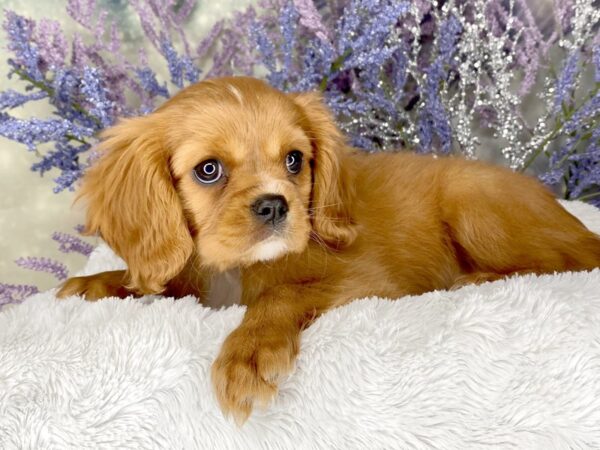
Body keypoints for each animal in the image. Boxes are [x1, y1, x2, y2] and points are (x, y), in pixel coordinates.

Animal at [58, 75, 600, 424]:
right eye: (208, 170)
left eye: (294, 161)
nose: (275, 205)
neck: (234, 271)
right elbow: (151, 283)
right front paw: (92, 284)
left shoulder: (370, 282)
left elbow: (282, 294)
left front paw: (249, 353)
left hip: (475, 204)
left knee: (559, 262)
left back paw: (475, 280)